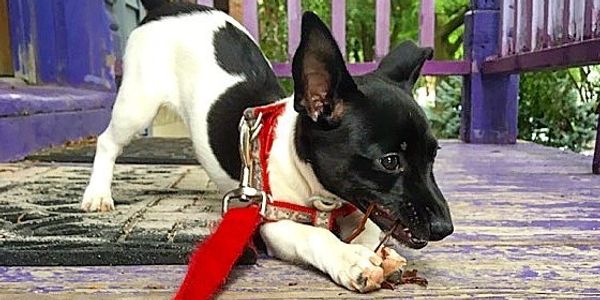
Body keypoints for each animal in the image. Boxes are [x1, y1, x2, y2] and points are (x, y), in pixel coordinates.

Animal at [82, 0, 452, 290]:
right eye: (390, 162)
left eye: (434, 156)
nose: (445, 229)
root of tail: (168, 8)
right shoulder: (274, 225)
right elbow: (315, 236)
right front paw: (350, 259)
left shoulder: (350, 208)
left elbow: (369, 226)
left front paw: (379, 251)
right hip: (137, 104)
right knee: (107, 141)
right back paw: (97, 193)